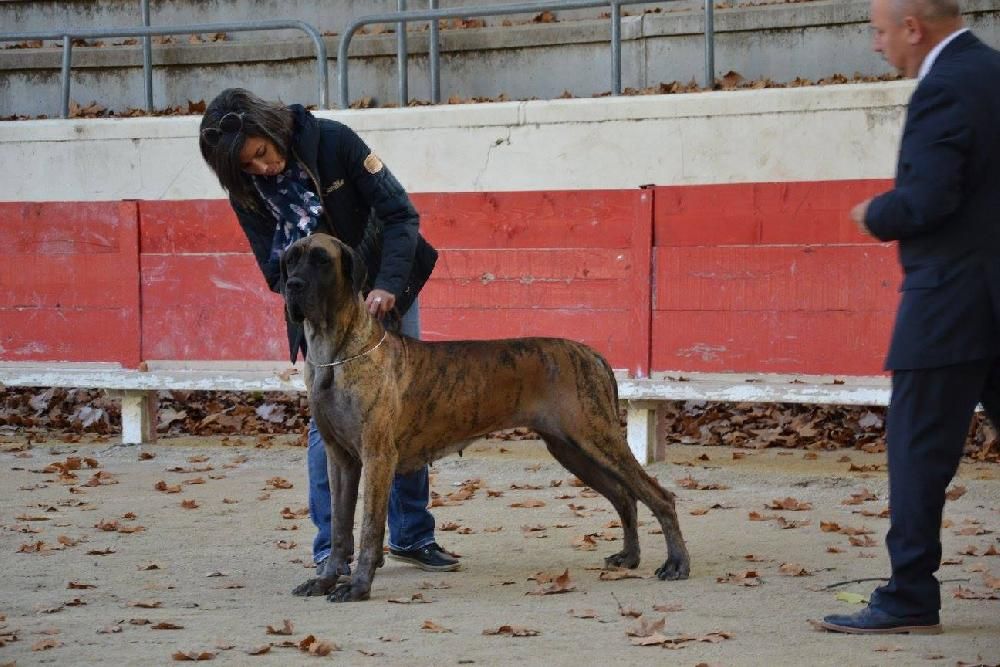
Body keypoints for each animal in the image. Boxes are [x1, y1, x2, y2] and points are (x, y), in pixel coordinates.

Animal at [280, 233, 690, 602]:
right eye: (290, 258)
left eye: (321, 259)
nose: (291, 285)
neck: (335, 354)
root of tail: (592, 354)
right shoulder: (341, 460)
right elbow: (338, 528)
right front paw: (325, 580)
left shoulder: (378, 458)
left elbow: (368, 529)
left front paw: (358, 587)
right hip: (572, 448)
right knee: (624, 495)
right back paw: (630, 556)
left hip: (596, 437)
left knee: (658, 495)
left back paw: (676, 563)